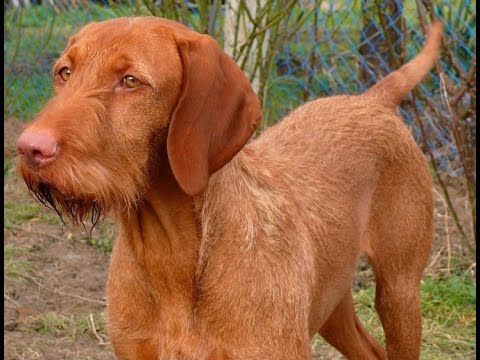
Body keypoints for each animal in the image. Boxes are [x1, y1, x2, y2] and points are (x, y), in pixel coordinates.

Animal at [15, 16, 442, 360]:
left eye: (130, 80)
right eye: (64, 72)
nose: (28, 147)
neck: (170, 256)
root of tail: (371, 101)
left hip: (399, 291)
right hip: (331, 300)